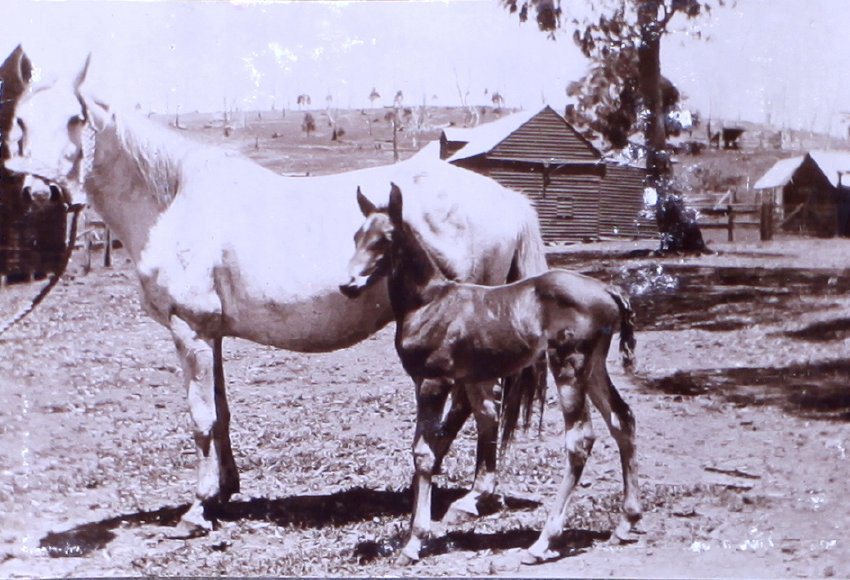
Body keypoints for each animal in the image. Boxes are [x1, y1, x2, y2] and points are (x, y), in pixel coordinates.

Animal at [1, 53, 549, 535]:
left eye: (75, 119)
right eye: (21, 122)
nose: (41, 193)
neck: (173, 199)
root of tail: (508, 198)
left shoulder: (189, 329)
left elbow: (200, 417)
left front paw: (197, 510)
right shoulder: (212, 334)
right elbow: (220, 413)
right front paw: (223, 492)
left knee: (483, 404)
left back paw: (470, 497)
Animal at [340, 183, 642, 565]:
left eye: (386, 238)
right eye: (357, 236)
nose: (347, 285)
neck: (429, 302)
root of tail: (609, 290)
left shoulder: (435, 380)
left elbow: (424, 453)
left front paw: (414, 542)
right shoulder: (442, 380)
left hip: (569, 364)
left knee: (580, 440)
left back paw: (542, 543)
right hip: (594, 366)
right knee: (622, 418)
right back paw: (626, 522)